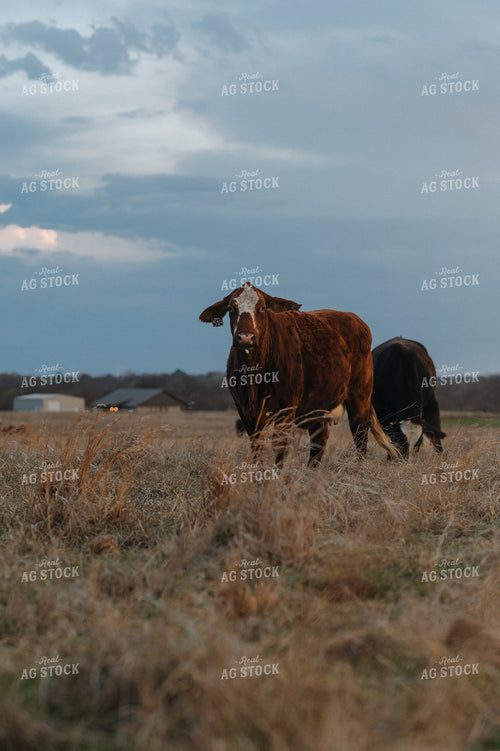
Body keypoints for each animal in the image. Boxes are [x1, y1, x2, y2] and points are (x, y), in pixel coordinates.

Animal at [199, 283, 398, 466]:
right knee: (320, 440)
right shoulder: (246, 411)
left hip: (360, 398)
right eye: (231, 308)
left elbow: (280, 447)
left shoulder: (286, 409)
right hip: (318, 406)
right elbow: (257, 448)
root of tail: (354, 318)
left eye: (262, 308)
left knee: (360, 437)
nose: (245, 337)